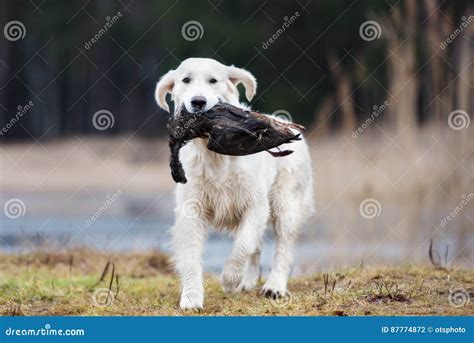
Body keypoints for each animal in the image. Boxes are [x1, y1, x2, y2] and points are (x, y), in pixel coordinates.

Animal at [154, 57, 314, 310]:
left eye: (213, 80)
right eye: (185, 80)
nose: (198, 102)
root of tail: (286, 123)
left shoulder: (256, 205)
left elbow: (243, 245)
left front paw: (230, 279)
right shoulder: (192, 209)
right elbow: (190, 255)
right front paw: (191, 297)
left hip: (285, 201)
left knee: (283, 246)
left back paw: (275, 287)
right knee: (258, 247)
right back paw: (248, 282)